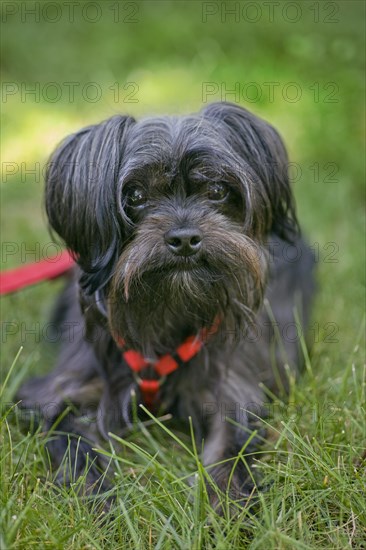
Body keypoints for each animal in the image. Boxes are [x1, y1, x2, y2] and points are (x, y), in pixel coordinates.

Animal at [16, 102, 314, 512]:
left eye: (218, 190)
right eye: (135, 195)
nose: (185, 238)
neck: (166, 310)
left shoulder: (233, 392)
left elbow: (230, 451)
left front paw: (224, 505)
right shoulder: (56, 393)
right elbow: (73, 441)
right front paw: (99, 497)